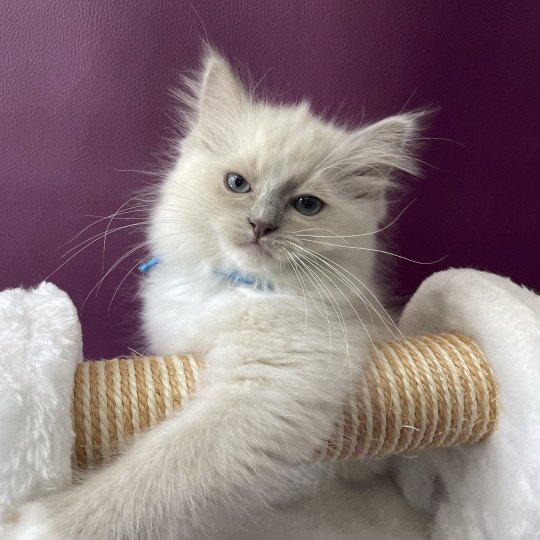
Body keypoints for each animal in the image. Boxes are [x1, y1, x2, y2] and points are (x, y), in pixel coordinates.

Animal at [3, 51, 426, 540]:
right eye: (237, 183)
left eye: (307, 205)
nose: (260, 225)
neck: (232, 287)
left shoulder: (265, 390)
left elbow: (160, 471)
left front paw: (40, 522)